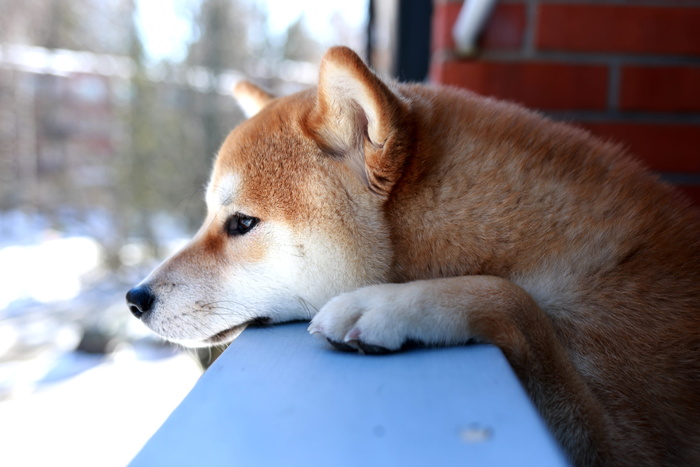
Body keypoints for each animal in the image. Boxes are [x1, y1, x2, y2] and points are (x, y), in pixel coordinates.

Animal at [127, 45, 700, 466]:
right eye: (208, 217)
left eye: (242, 223)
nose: (134, 298)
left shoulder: (629, 442)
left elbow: (515, 303)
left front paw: (393, 305)